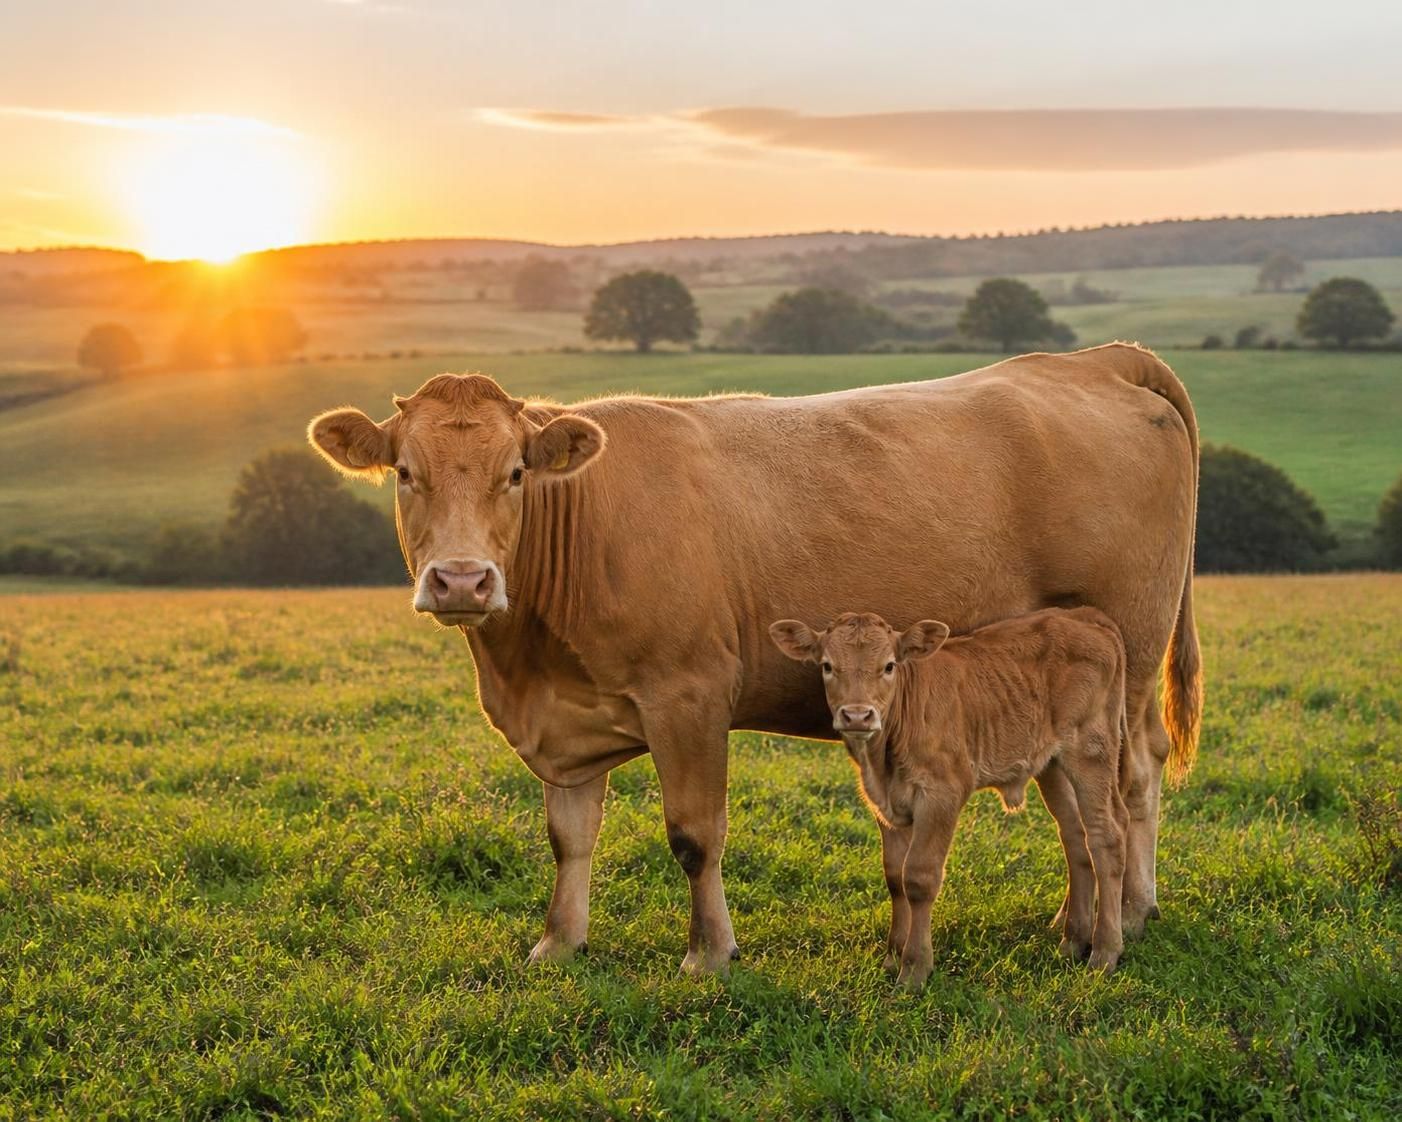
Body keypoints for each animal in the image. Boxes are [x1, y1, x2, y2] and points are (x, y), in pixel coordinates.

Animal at [769, 607, 1131, 987]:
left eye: (889, 666)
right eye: (827, 665)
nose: (857, 715)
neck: (882, 760)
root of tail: (1081, 615)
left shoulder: (941, 795)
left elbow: (918, 878)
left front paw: (914, 967)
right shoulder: (887, 805)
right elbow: (894, 877)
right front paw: (892, 955)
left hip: (1090, 751)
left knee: (1106, 836)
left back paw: (1104, 952)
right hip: (1052, 765)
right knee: (1075, 836)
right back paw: (1074, 940)